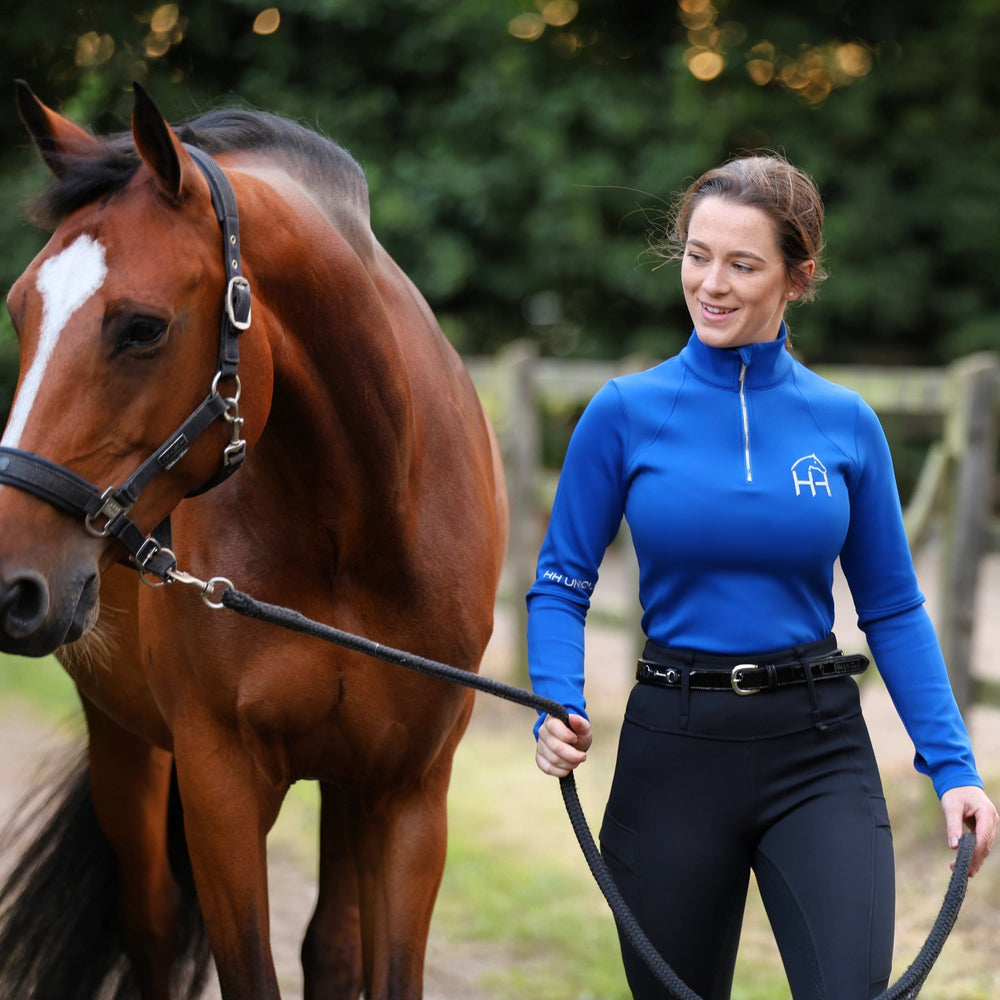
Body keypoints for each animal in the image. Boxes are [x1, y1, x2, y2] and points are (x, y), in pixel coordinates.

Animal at [0, 80, 504, 1000]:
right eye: (21, 311)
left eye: (143, 328)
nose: (11, 585)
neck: (357, 525)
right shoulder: (222, 789)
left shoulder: (410, 797)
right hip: (126, 746)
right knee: (151, 923)